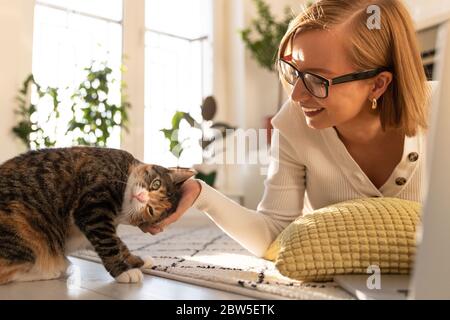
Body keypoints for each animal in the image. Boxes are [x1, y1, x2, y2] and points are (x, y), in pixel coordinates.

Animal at [0, 146, 195, 284]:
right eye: (155, 184)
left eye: (151, 210)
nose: (140, 196)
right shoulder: (93, 210)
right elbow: (109, 244)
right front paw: (125, 272)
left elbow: (119, 243)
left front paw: (139, 261)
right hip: (22, 224)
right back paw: (52, 270)